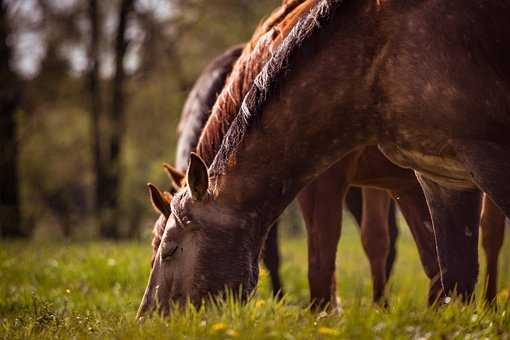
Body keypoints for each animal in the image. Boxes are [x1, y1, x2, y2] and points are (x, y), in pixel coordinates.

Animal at [137, 0, 510, 316]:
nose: (148, 318)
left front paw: (323, 313)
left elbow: (322, 256)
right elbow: (402, 248)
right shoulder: (408, 179)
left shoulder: (330, 179)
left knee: (491, 235)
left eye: (169, 250)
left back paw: (491, 303)